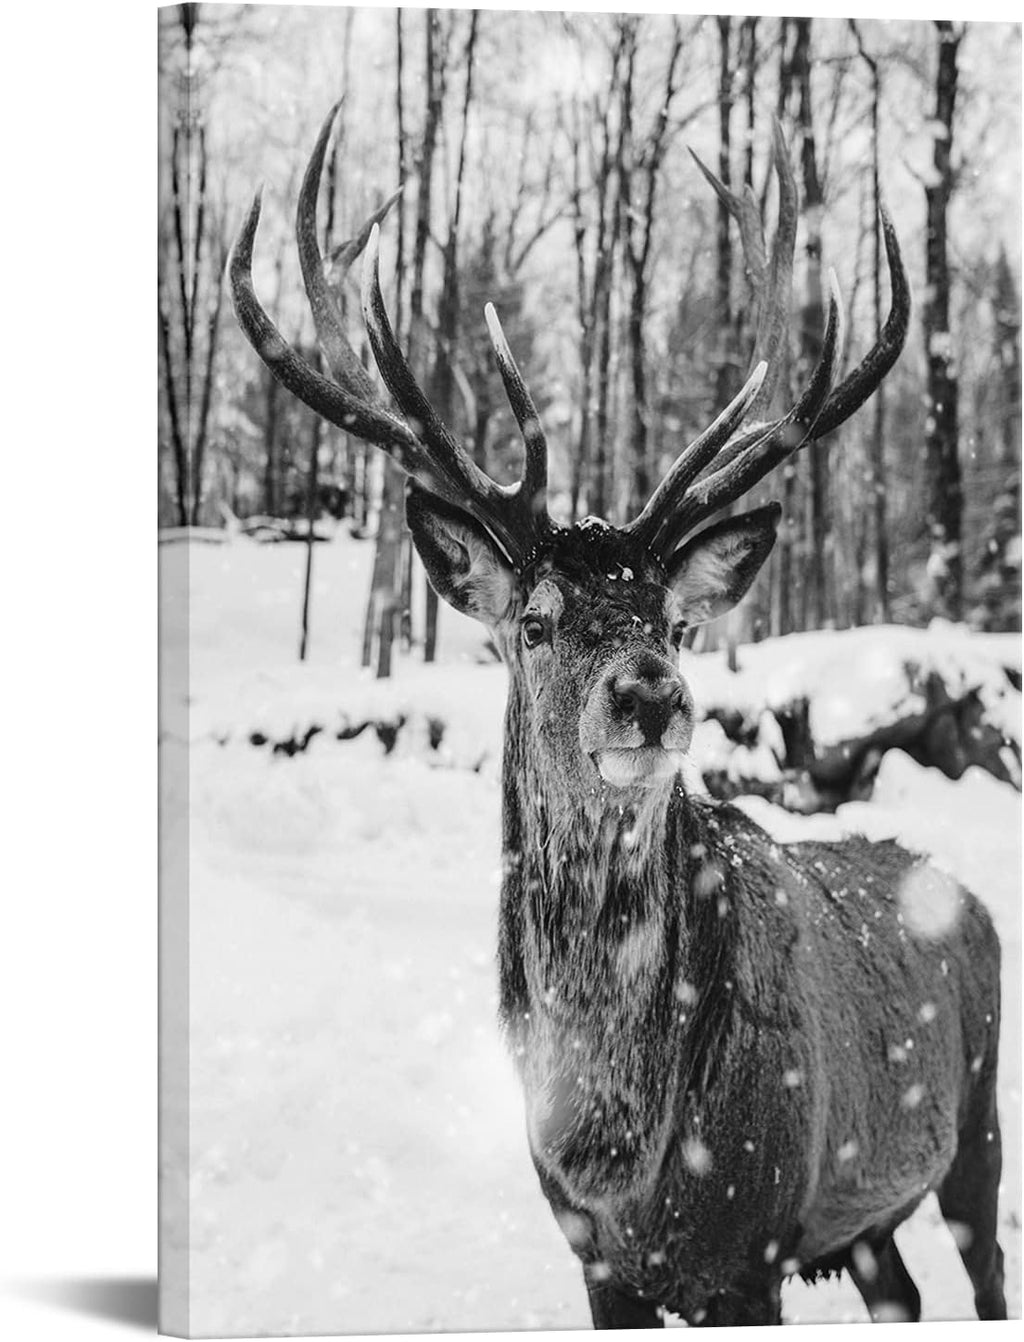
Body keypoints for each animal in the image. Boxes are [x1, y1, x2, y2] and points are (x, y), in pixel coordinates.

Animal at [230, 104, 1007, 1327]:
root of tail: (968, 896)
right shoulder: (592, 1254)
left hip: (977, 1132)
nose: (651, 691)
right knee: (906, 1293)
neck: (619, 1144)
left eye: (673, 619)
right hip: (872, 1217)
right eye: (536, 620)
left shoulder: (754, 1244)